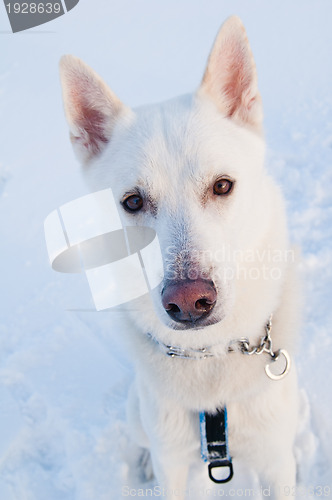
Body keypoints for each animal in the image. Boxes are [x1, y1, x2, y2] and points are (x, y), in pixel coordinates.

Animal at [60, 16, 300, 500]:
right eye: (133, 202)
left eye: (222, 186)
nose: (188, 301)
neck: (212, 362)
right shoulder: (172, 463)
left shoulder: (278, 462)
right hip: (141, 417)